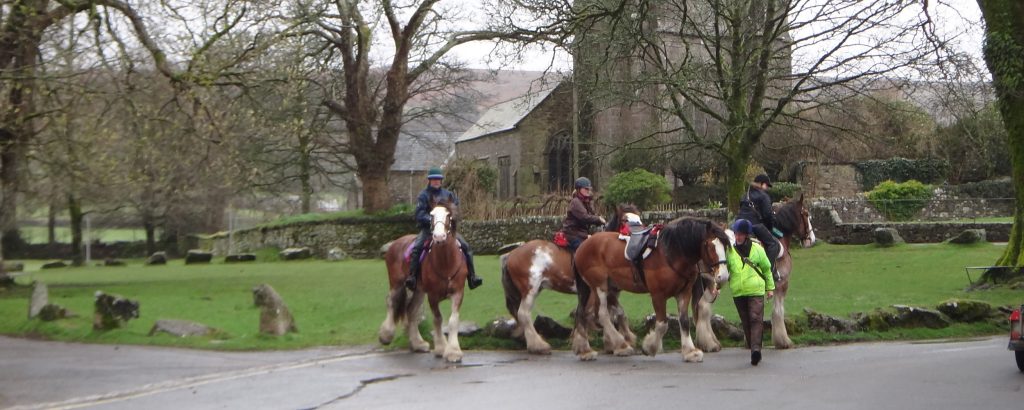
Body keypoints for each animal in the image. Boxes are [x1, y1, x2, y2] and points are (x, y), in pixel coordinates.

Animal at [378, 201, 468, 363]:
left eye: (448, 215)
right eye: (431, 215)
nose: (439, 236)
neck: (446, 261)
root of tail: (396, 243)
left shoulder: (458, 292)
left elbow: (453, 320)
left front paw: (453, 352)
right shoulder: (432, 295)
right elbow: (438, 319)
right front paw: (441, 348)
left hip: (419, 290)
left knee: (411, 311)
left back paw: (418, 343)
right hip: (397, 283)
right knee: (391, 303)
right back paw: (386, 335)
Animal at [500, 204, 640, 354]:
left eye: (639, 218)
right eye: (625, 220)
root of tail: (510, 254)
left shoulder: (608, 292)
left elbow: (617, 313)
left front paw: (618, 341)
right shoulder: (595, 292)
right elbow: (593, 314)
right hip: (530, 290)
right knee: (523, 314)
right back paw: (538, 345)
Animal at [570, 217, 730, 362]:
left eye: (726, 246)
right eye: (709, 245)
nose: (723, 276)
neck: (671, 252)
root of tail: (582, 246)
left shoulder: (684, 293)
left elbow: (684, 321)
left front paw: (690, 351)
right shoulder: (658, 295)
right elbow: (662, 324)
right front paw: (650, 347)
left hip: (604, 288)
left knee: (583, 312)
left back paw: (586, 349)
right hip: (599, 286)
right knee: (602, 314)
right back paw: (620, 345)